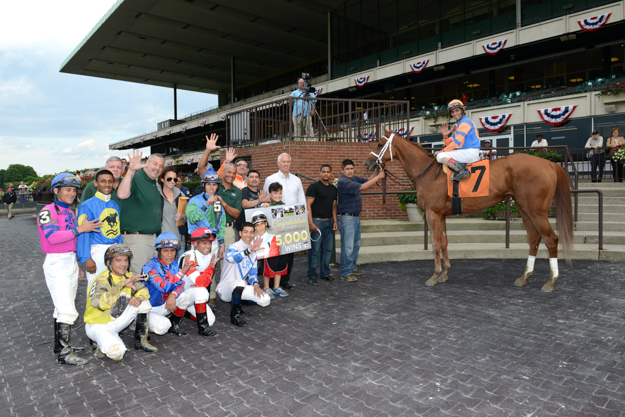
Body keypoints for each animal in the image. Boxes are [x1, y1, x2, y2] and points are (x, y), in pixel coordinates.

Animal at [366, 128, 576, 290]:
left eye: (379, 144)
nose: (367, 163)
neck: (427, 172)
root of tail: (548, 163)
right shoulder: (442, 215)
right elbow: (444, 242)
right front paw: (445, 273)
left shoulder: (432, 214)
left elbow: (435, 244)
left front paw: (434, 275)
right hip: (524, 209)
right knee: (534, 239)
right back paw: (524, 276)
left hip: (536, 211)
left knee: (551, 239)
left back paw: (550, 281)